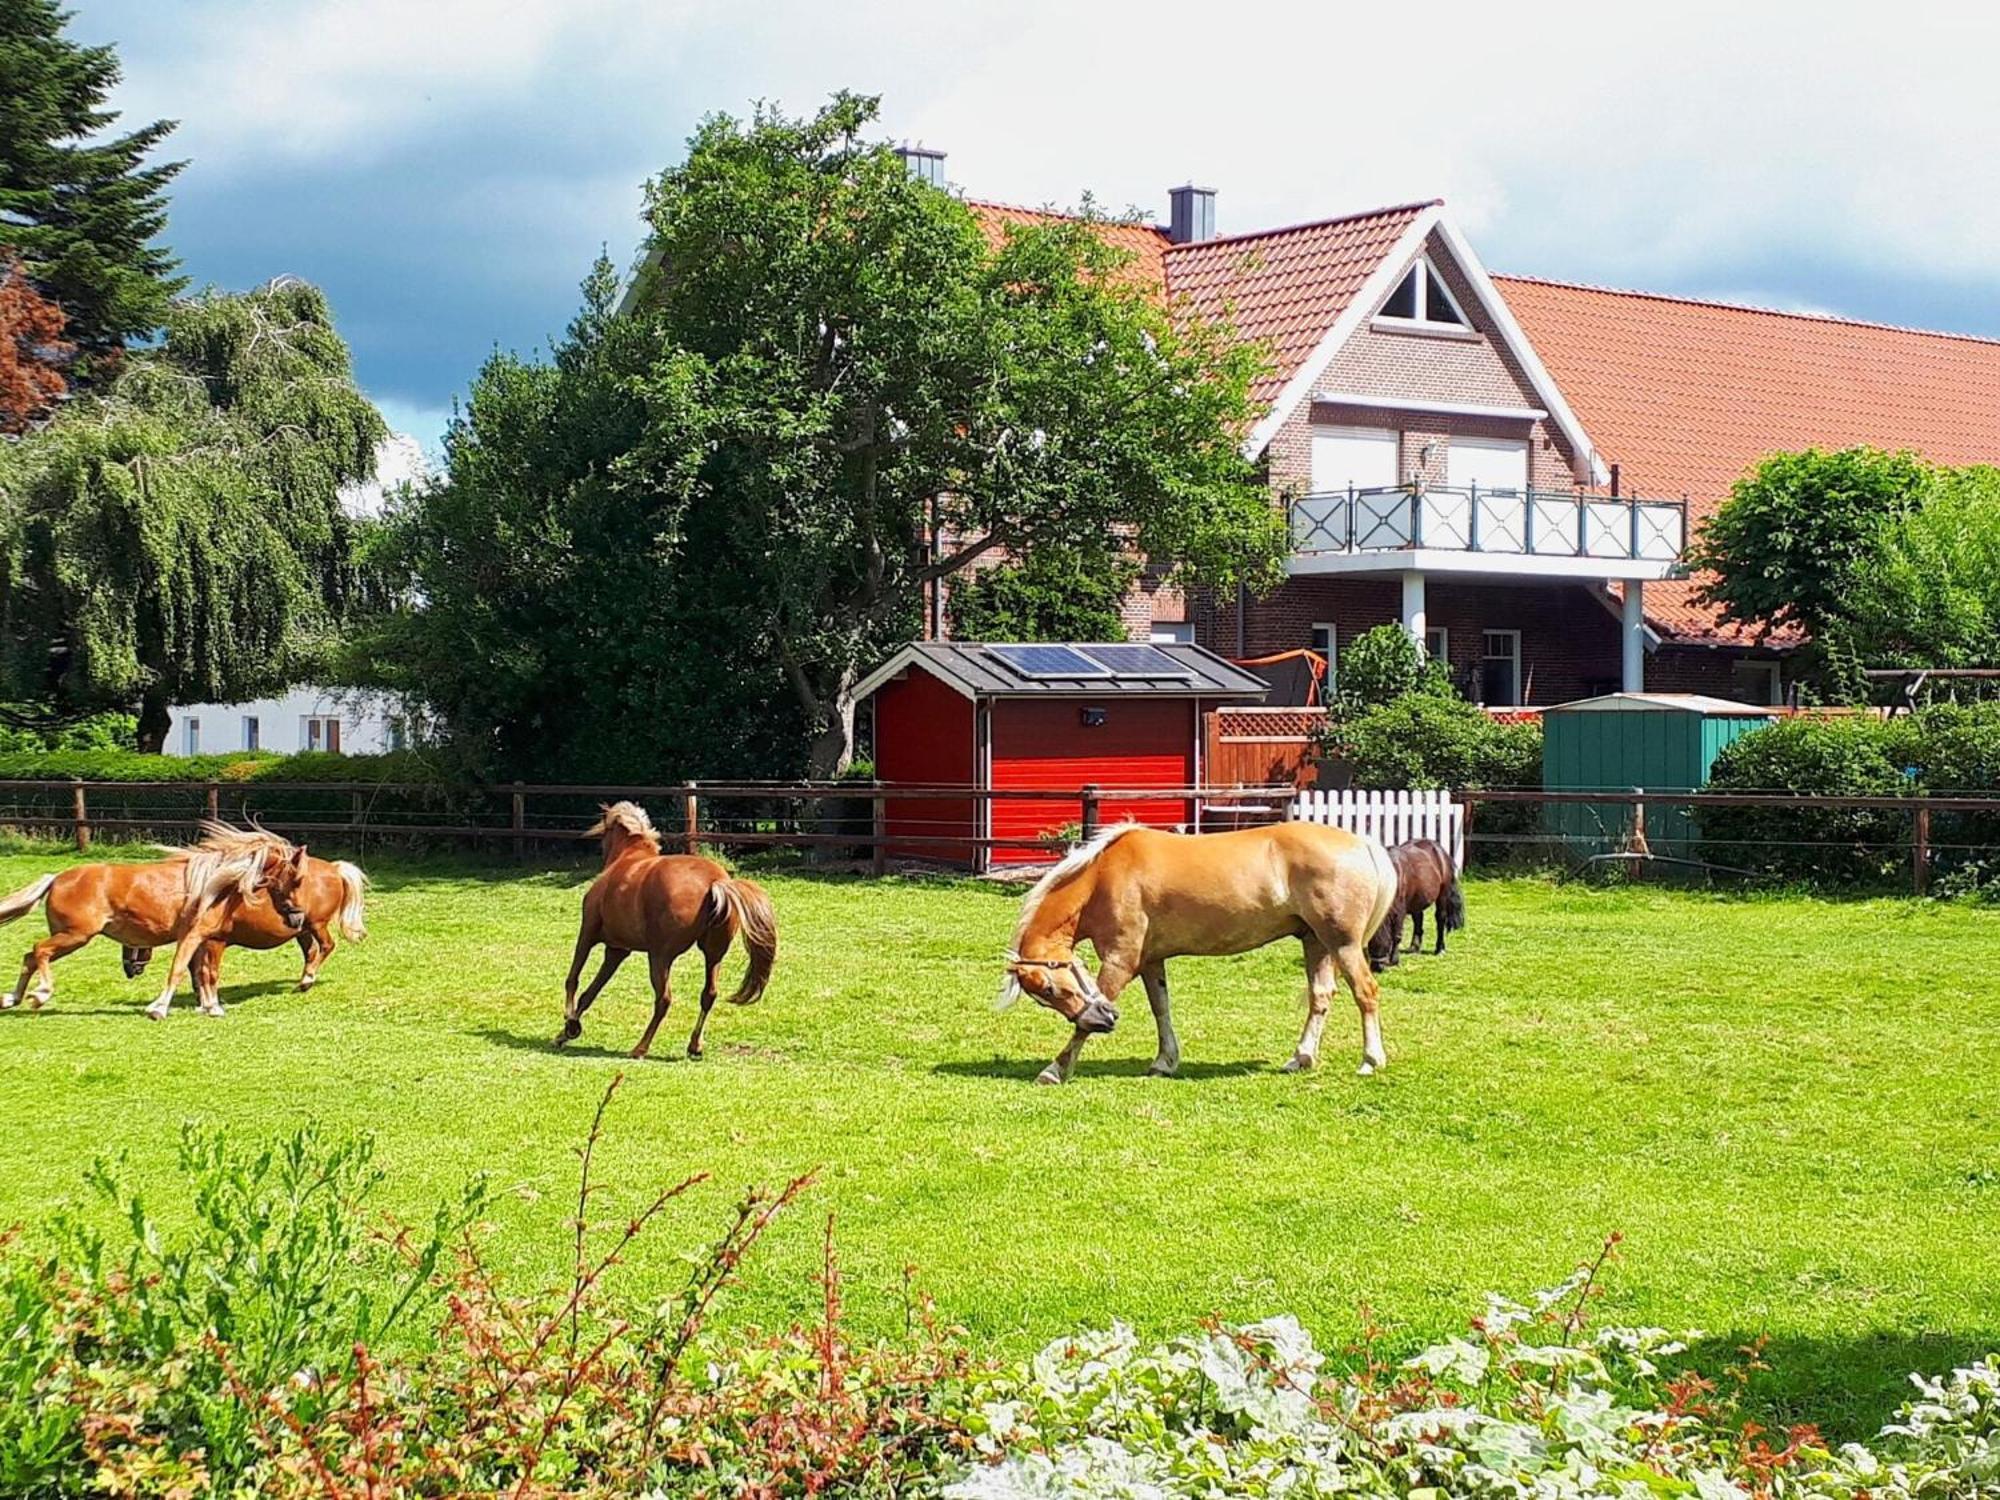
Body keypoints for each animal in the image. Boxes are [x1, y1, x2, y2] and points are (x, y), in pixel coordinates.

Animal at [0, 824, 312, 1024]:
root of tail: (56, 878)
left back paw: (11, 999)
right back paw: (40, 995)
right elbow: (180, 971)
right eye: (297, 879)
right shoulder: (193, 936)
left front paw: (211, 1008)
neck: (214, 884)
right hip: (75, 935)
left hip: (71, 936)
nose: (298, 917)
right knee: (39, 951)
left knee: (29, 956)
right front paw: (159, 1009)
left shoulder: (205, 939)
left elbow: (205, 974)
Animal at [121, 856, 370, 1012]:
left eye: (131, 940)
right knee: (311, 953)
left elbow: (202, 970)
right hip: (302, 929)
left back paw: (308, 979)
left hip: (316, 925)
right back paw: (304, 982)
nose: (129, 970)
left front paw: (206, 1000)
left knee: (327, 946)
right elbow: (197, 969)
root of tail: (334, 868)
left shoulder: (212, 941)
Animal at [564, 804, 788, 1064]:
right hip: (713, 955)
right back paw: (694, 1046)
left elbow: (573, 979)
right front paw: (567, 1030)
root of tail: (716, 882)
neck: (629, 858)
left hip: (660, 957)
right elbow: (590, 992)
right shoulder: (617, 951)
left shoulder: (588, 933)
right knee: (709, 994)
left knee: (664, 1000)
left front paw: (568, 1025)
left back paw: (640, 1048)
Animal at [996, 828, 1392, 1088]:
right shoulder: (1150, 961)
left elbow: (1083, 1027)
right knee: (1321, 997)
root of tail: (1362, 842)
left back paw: (1371, 1060)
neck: (1103, 877)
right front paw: (1164, 1062)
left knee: (1366, 993)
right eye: (1044, 997)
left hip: (1342, 943)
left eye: (1049, 988)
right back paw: (1301, 1058)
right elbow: (1161, 1009)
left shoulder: (1122, 960)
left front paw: (1054, 1070)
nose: (1107, 1019)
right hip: (1316, 941)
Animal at [1360, 836, 1472, 976]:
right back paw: (1414, 947)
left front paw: (1394, 960)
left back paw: (1439, 949)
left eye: (1384, 937)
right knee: (1418, 920)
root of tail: (1439, 849)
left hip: (1442, 896)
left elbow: (1396, 935)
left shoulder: (1399, 911)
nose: (1377, 967)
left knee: (1440, 919)